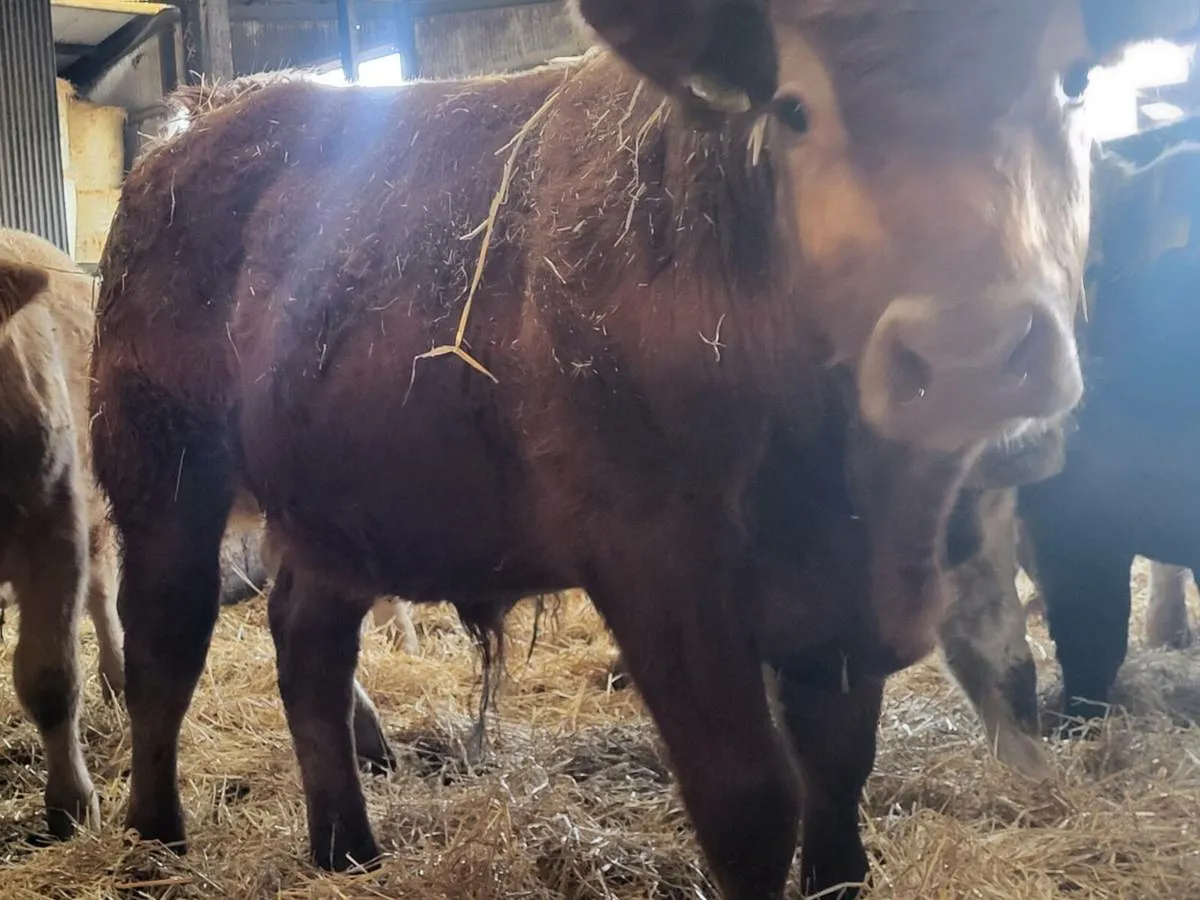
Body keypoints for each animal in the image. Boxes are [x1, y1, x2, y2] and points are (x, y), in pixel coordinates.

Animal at [87, 2, 1195, 897]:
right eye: (793, 107)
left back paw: (345, 846)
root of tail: (200, 123)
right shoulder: (661, 570)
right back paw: (153, 837)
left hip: (339, 500)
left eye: (1073, 79)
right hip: (161, 469)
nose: (970, 351)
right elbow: (751, 801)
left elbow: (838, 775)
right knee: (165, 642)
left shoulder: (838, 599)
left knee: (308, 643)